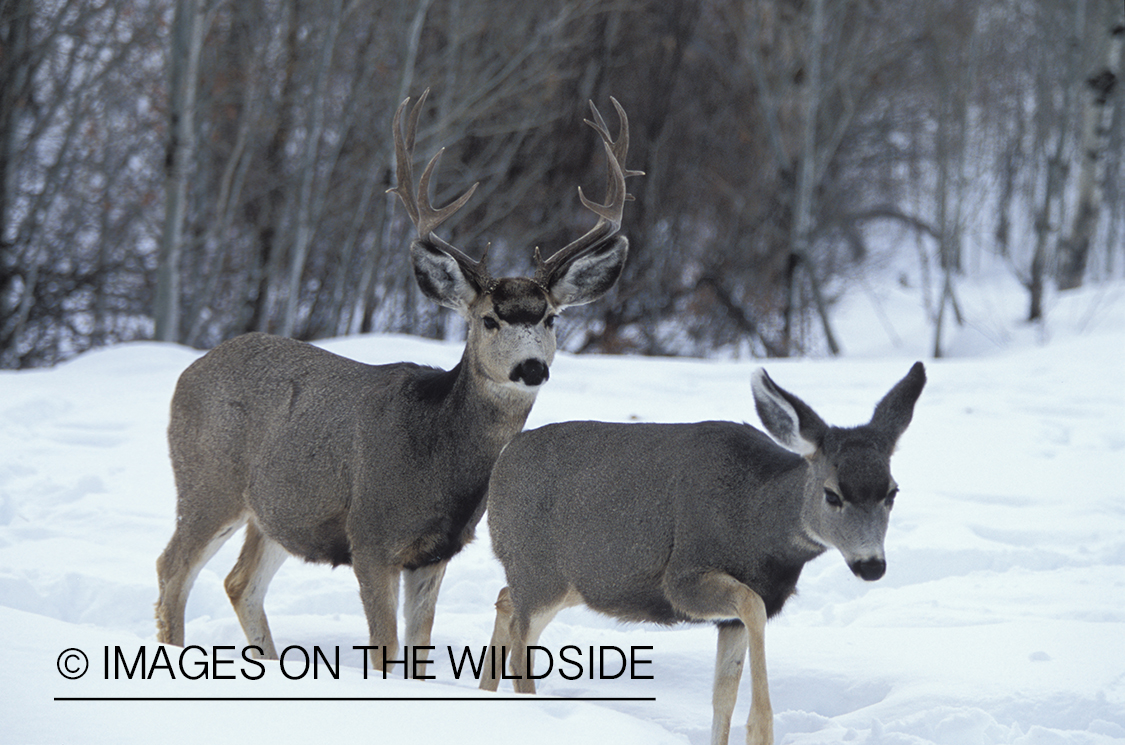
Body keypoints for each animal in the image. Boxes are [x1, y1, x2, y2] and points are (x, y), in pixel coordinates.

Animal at [154, 90, 640, 674]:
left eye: (549, 318)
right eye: (488, 320)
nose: (531, 368)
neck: (436, 462)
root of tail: (188, 372)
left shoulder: (434, 553)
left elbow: (418, 652)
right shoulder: (370, 538)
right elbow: (385, 652)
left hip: (274, 512)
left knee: (239, 582)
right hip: (208, 480)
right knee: (172, 569)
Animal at [479, 363, 926, 745]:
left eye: (892, 492)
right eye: (832, 494)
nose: (871, 565)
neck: (756, 518)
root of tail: (501, 463)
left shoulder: (731, 618)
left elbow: (722, 694)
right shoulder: (682, 578)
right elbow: (751, 608)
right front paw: (761, 729)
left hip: (556, 582)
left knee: (504, 600)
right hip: (539, 571)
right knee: (520, 645)